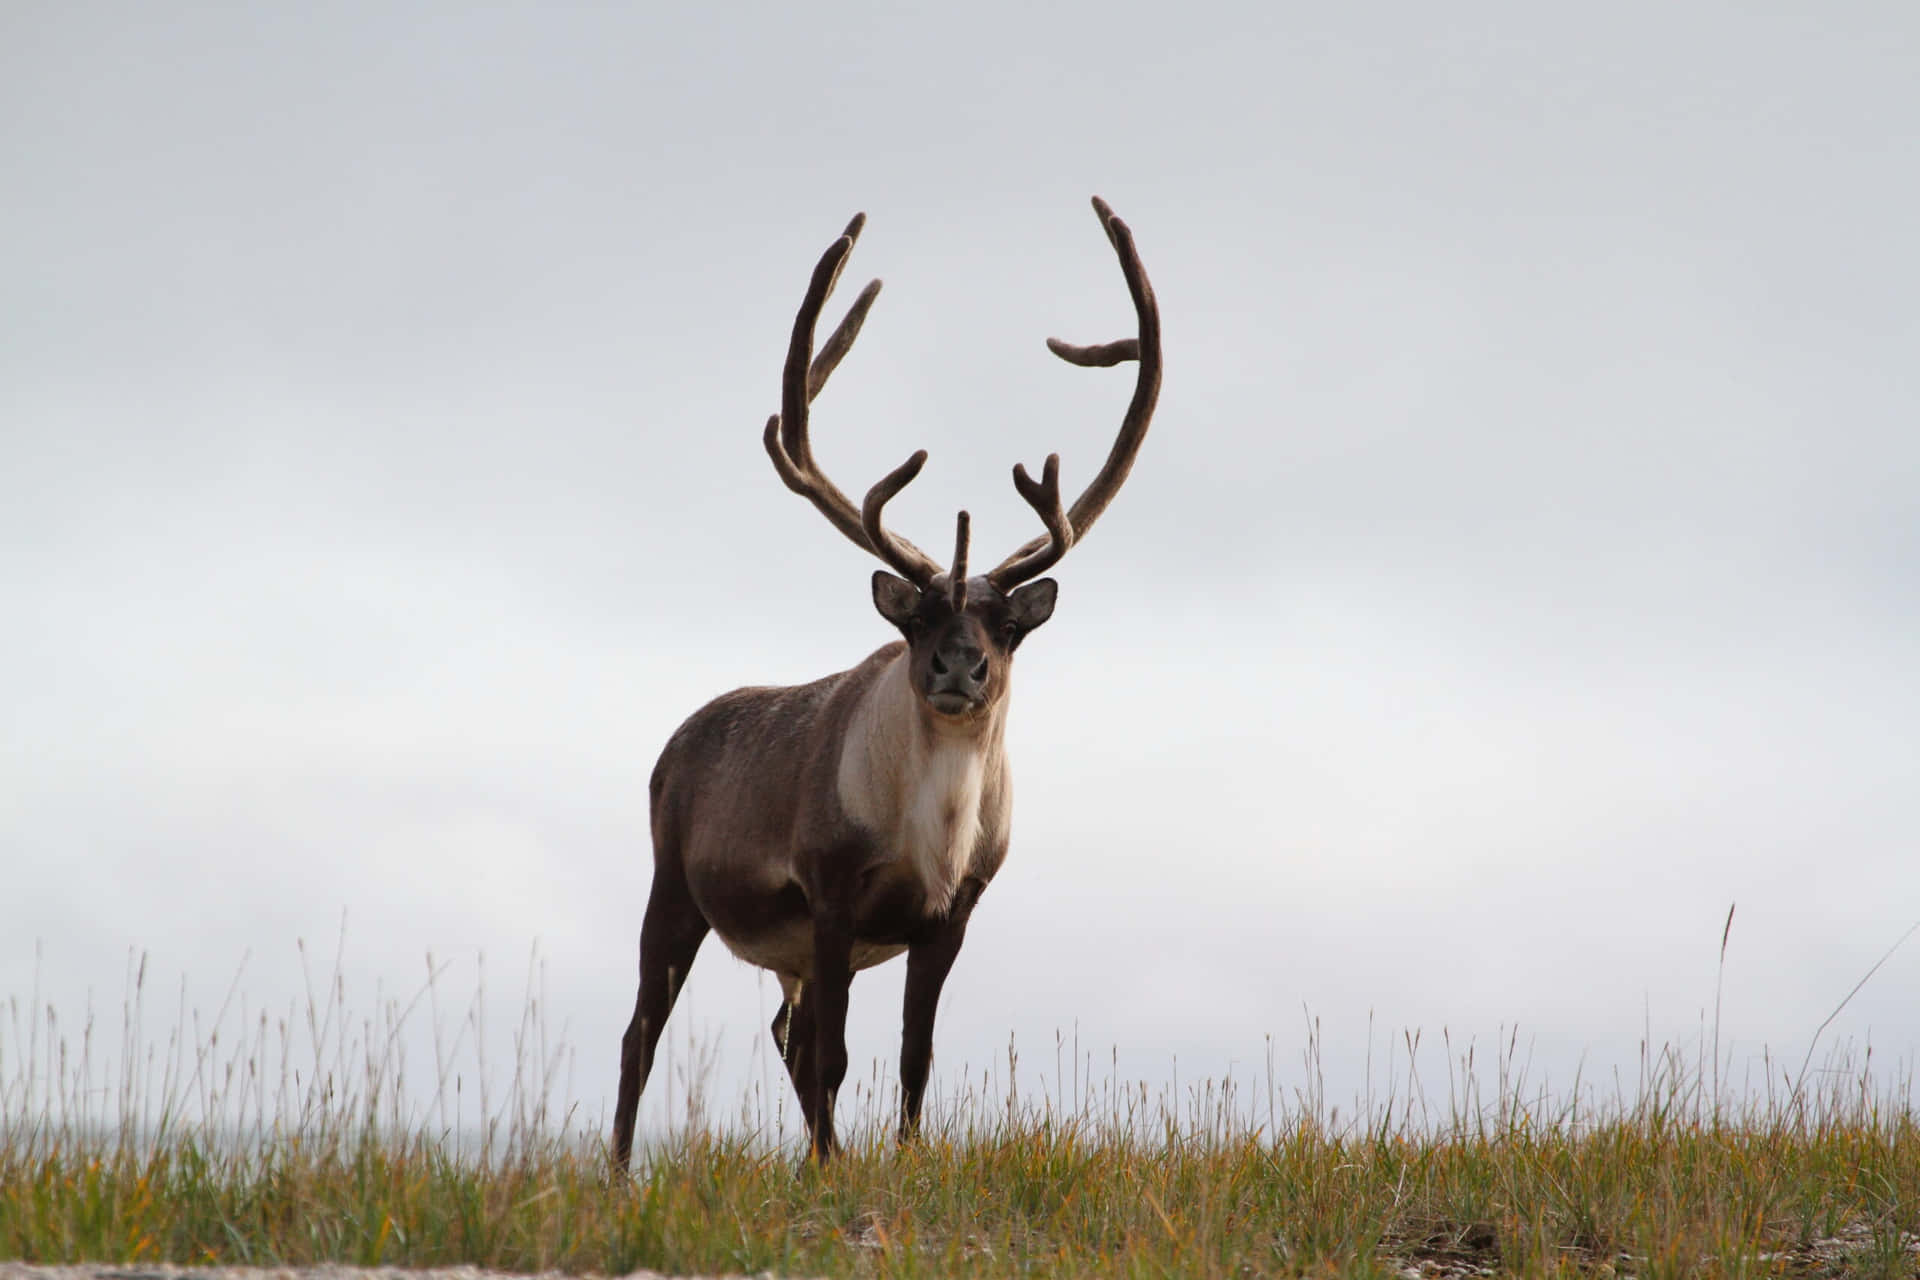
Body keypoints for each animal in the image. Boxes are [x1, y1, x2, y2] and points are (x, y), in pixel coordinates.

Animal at [610, 197, 1161, 1168]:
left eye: (1007, 627)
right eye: (917, 619)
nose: (958, 665)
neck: (933, 831)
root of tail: (674, 744)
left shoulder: (951, 915)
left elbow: (913, 1056)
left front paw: (898, 1160)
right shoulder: (830, 893)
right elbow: (835, 1056)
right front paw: (830, 1170)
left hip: (777, 946)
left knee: (782, 1037)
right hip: (675, 889)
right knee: (643, 1035)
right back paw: (617, 1173)